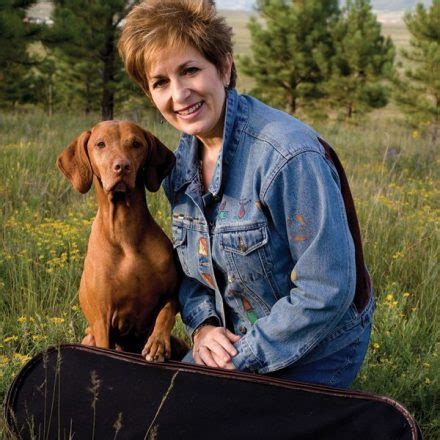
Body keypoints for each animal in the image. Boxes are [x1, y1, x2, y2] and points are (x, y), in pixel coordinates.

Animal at [57, 119, 186, 360]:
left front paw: (157, 342)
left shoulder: (172, 293)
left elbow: (166, 311)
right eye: (100, 144)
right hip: (89, 337)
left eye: (136, 144)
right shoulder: (102, 319)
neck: (125, 232)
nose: (122, 167)